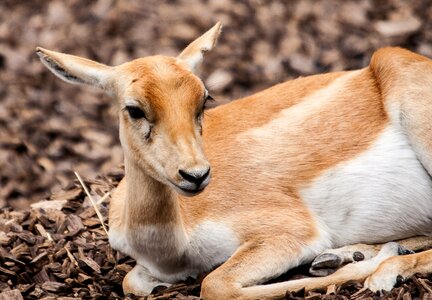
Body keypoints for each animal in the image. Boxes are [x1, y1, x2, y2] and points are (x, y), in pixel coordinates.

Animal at [35, 22, 432, 298]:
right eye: (134, 109)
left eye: (205, 99)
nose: (195, 174)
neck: (174, 249)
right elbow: (132, 283)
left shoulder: (291, 232)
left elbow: (215, 285)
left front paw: (374, 264)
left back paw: (381, 267)